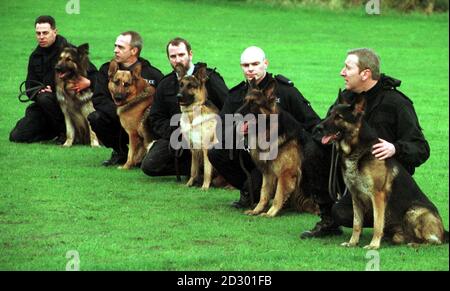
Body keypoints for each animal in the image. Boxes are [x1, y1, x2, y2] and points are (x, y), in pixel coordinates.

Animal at [318, 94, 448, 250]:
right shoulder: (356, 197)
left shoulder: (378, 196)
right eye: (330, 114)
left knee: (435, 241)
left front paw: (374, 245)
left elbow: (377, 223)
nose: (318, 128)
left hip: (413, 211)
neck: (358, 150)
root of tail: (444, 230)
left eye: (339, 117)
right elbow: (357, 224)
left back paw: (415, 243)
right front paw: (352, 242)